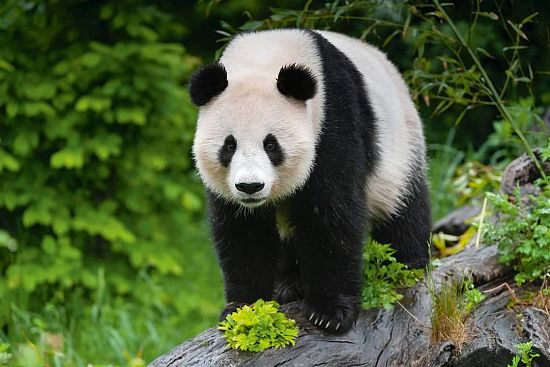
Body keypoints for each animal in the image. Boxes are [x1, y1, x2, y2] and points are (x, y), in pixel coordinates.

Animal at [192, 29, 434, 334]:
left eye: (271, 144)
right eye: (229, 145)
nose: (250, 187)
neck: (264, 56)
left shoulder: (333, 121)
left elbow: (331, 213)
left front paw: (329, 313)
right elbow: (242, 229)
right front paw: (244, 308)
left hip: (400, 142)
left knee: (403, 207)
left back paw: (408, 264)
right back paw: (288, 285)